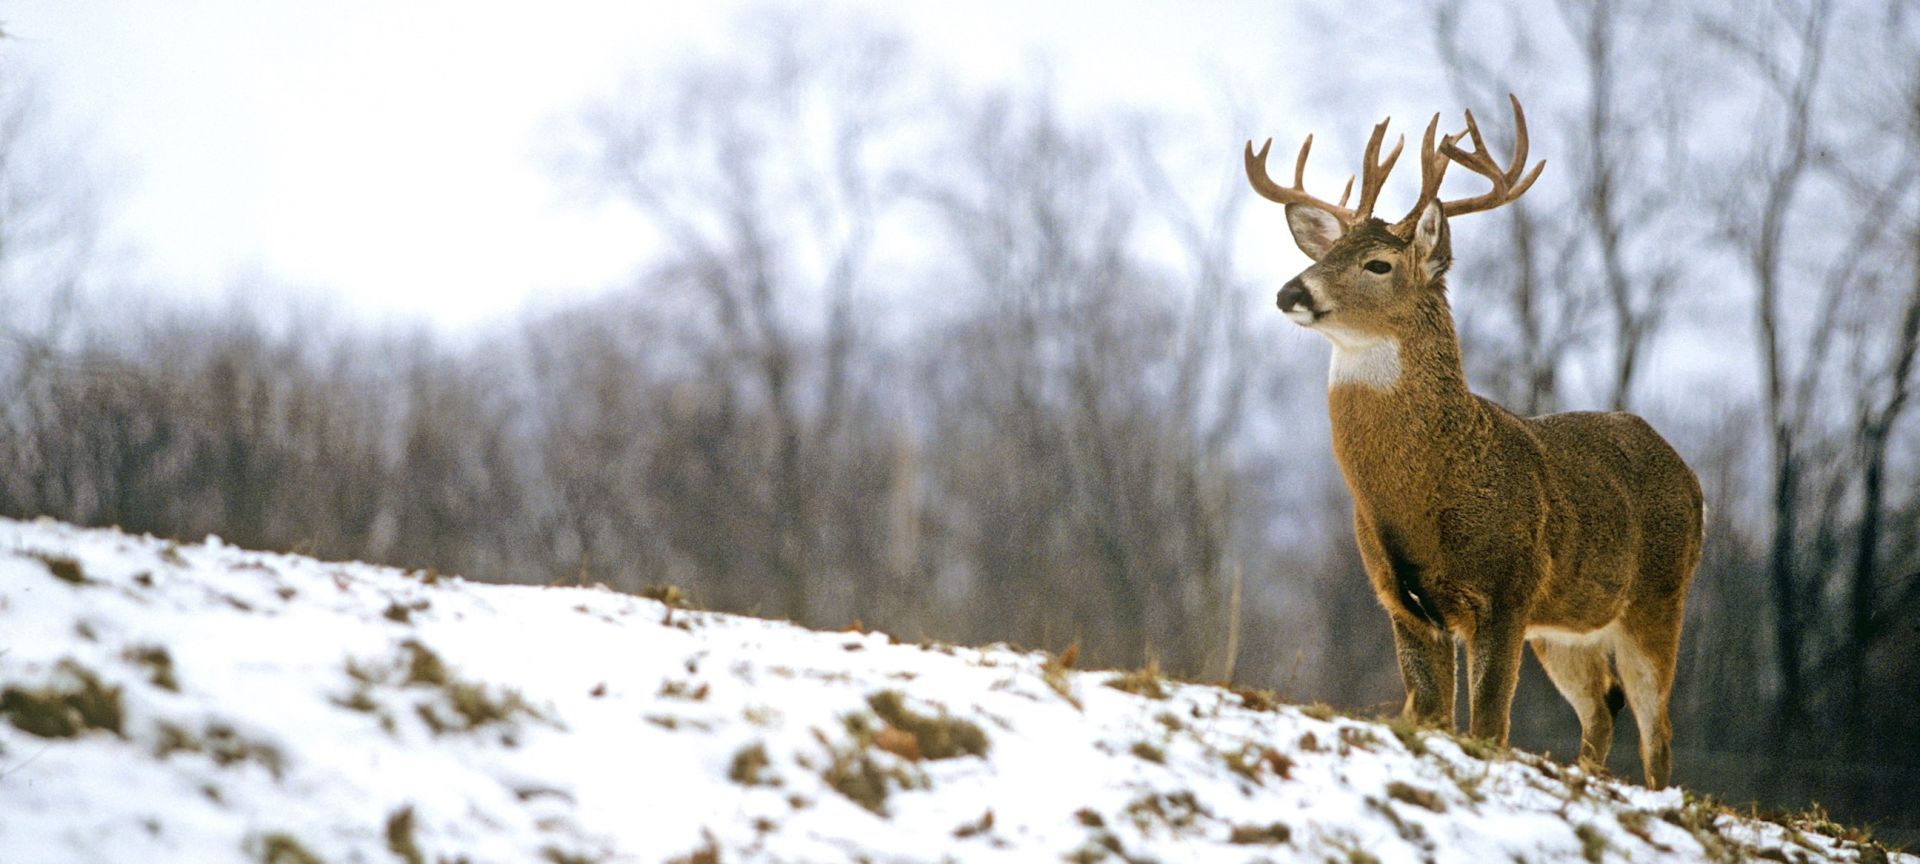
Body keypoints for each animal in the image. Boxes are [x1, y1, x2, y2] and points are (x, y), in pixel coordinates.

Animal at [1244, 96, 1703, 788]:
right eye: (1328, 251)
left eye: (1377, 263)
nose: (1290, 291)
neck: (1426, 488)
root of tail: (1694, 480)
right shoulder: (1402, 603)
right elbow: (1433, 714)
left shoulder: (1507, 590)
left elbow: (1489, 724)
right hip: (1564, 626)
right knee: (1602, 706)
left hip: (1656, 597)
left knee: (1658, 728)